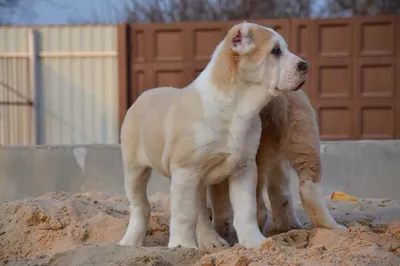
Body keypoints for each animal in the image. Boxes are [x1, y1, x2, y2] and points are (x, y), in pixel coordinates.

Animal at [117, 21, 308, 249]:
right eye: (275, 51)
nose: (305, 66)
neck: (237, 108)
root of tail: (143, 95)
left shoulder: (244, 168)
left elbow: (246, 210)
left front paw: (254, 242)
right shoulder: (185, 170)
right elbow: (184, 214)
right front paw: (181, 246)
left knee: (199, 209)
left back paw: (211, 241)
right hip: (135, 168)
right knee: (140, 206)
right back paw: (130, 241)